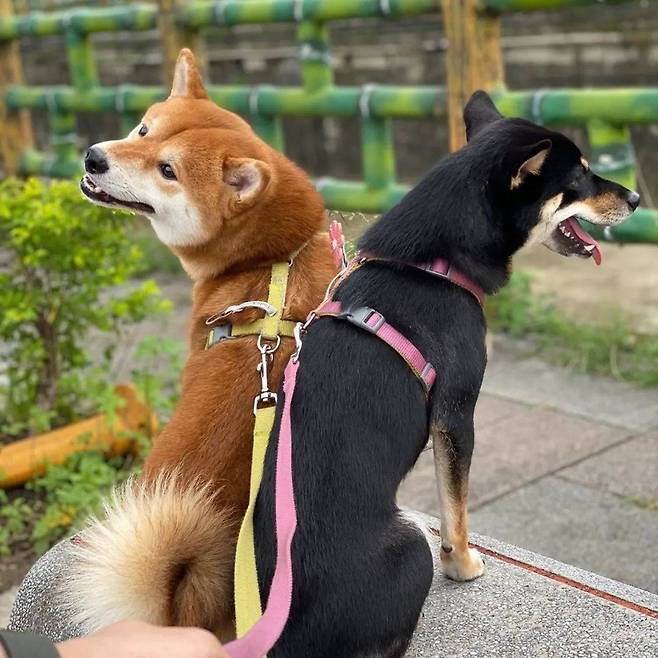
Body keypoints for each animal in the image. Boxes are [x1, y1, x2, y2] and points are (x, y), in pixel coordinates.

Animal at [252, 90, 640, 657]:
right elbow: (455, 508)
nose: (636, 197)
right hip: (411, 542)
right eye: (583, 176)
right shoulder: (456, 413)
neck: (429, 265)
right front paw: (464, 565)